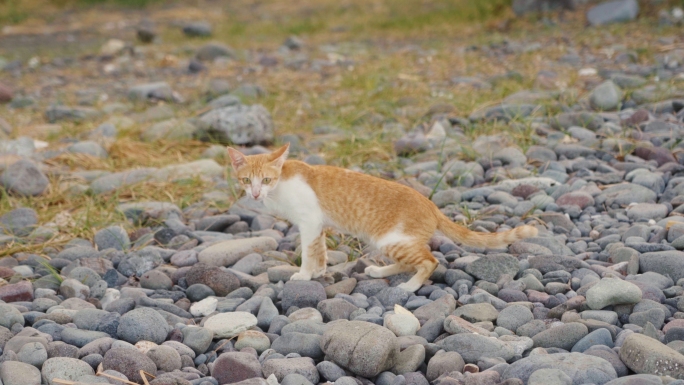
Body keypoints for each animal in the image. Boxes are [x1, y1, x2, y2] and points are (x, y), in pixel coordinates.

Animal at [228, 143, 540, 292]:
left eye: (266, 179)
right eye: (246, 180)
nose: (255, 194)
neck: (281, 185)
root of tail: (431, 205)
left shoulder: (309, 222)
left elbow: (308, 252)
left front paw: (304, 274)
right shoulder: (317, 225)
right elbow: (320, 250)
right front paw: (318, 272)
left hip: (392, 239)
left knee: (429, 262)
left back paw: (410, 286)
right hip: (388, 242)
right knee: (409, 262)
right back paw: (380, 272)